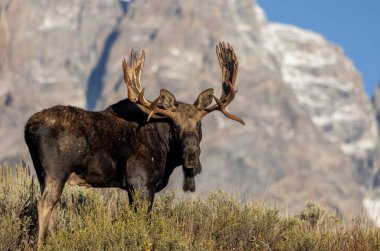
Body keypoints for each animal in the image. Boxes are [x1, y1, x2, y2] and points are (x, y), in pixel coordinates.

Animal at [24, 42, 243, 244]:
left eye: (199, 124)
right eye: (175, 125)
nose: (191, 155)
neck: (167, 155)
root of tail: (28, 127)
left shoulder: (131, 188)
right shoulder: (141, 183)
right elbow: (144, 223)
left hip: (42, 173)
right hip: (57, 171)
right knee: (44, 205)